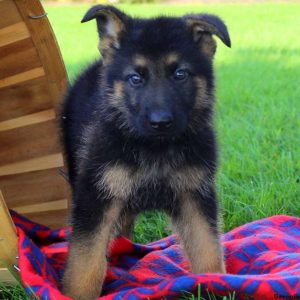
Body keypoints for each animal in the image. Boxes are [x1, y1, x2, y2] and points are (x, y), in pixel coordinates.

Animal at [60, 5, 230, 300]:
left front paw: (215, 285)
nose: (160, 122)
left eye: (180, 74)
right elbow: (86, 261)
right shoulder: (96, 196)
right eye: (135, 78)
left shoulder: (194, 195)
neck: (154, 148)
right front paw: (75, 294)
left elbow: (207, 249)